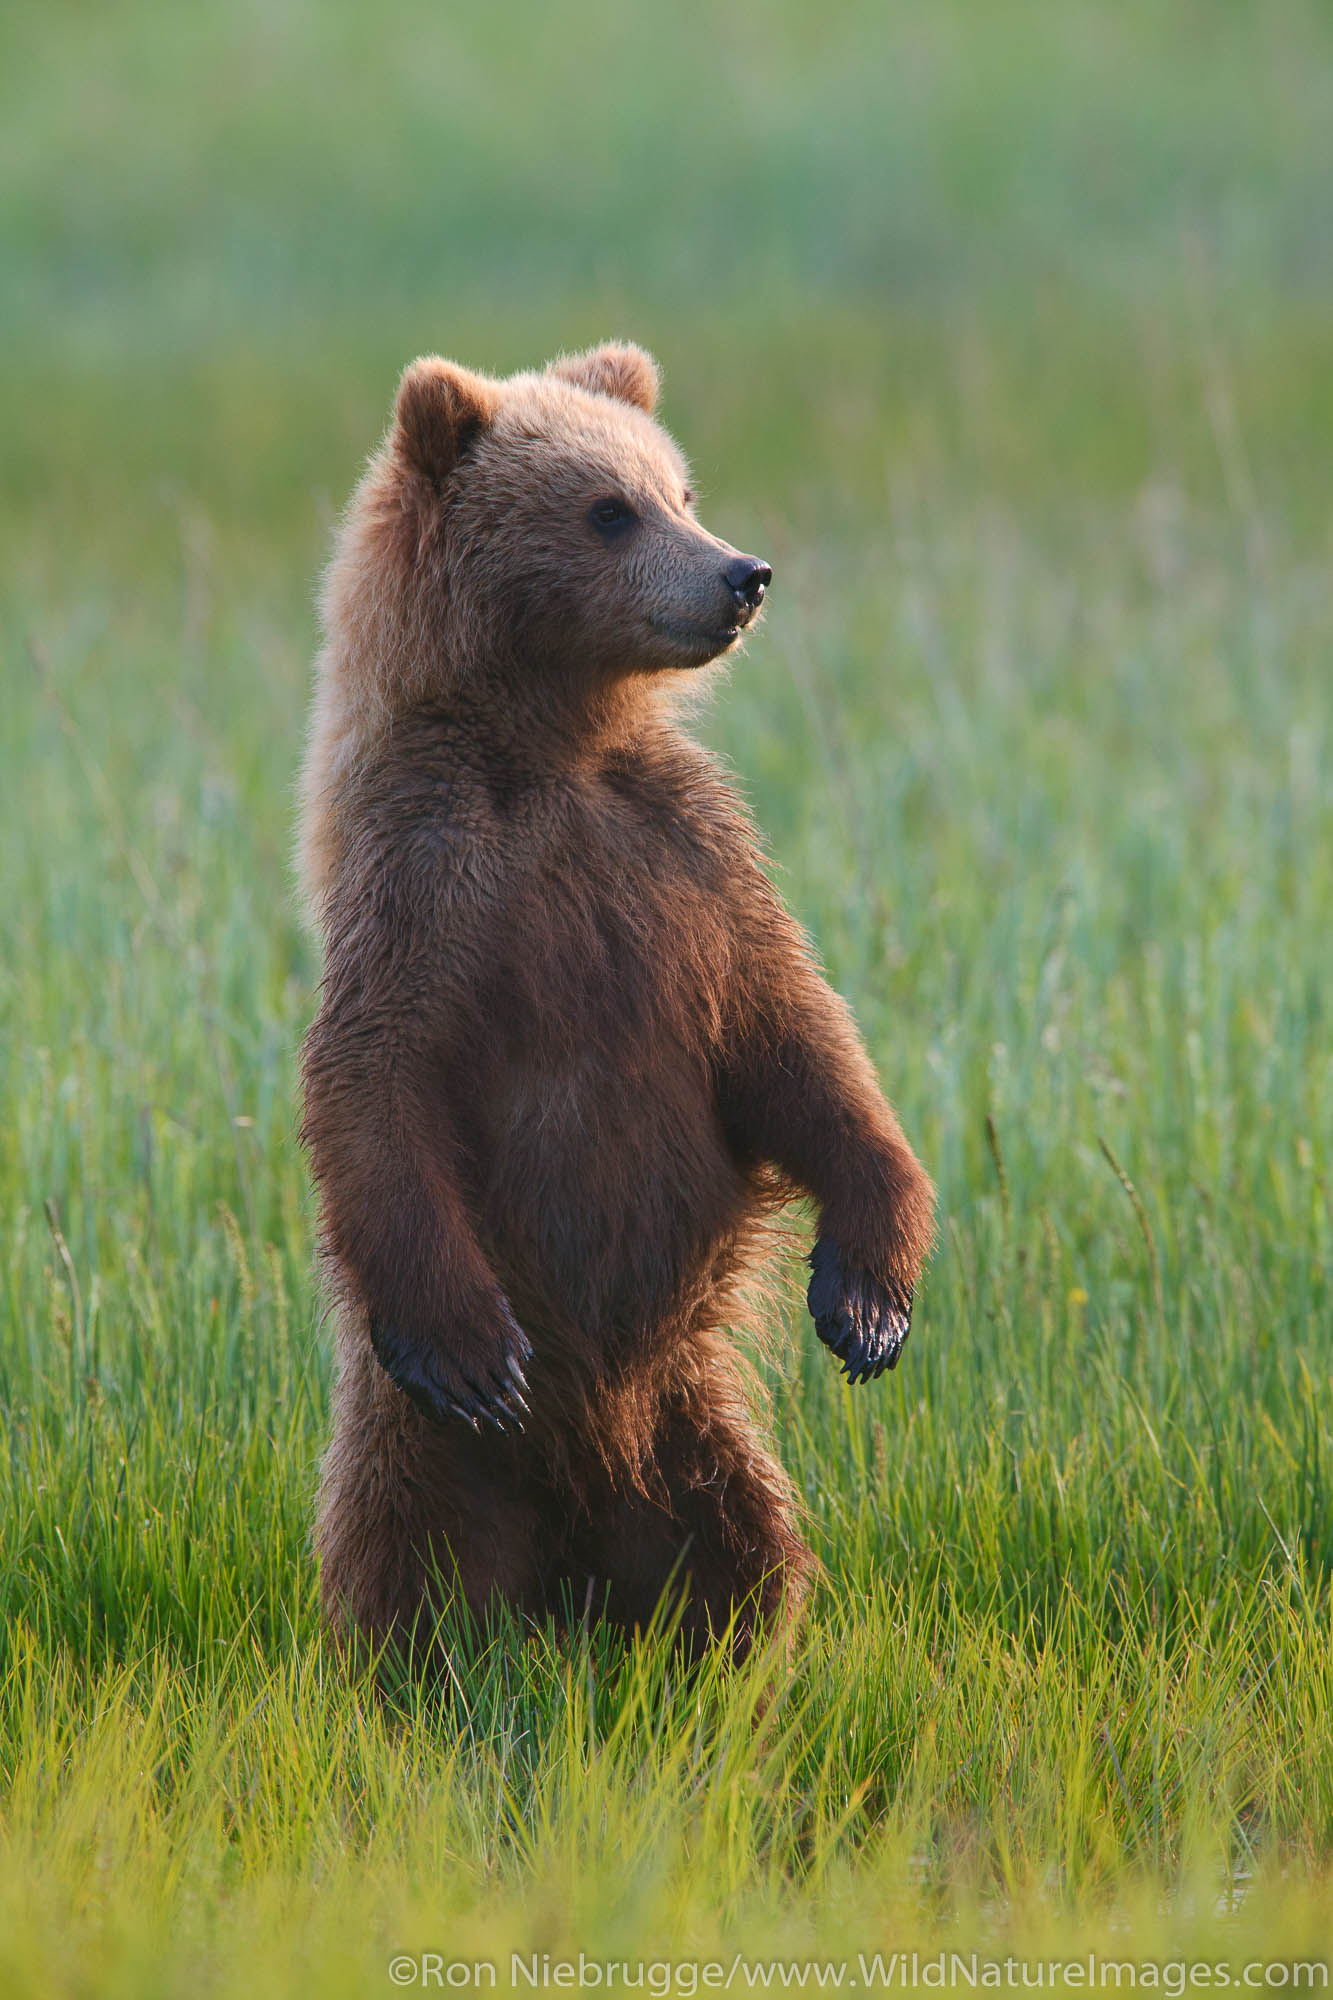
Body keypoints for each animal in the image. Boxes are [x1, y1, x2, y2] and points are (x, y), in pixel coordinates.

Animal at [298, 340, 932, 1656]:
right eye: (606, 508)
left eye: (679, 489)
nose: (742, 575)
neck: (548, 741)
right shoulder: (429, 873)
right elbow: (373, 1071)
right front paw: (477, 1352)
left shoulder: (679, 853)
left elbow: (797, 1039)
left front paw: (866, 1300)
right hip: (421, 1447)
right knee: (404, 1563)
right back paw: (429, 1659)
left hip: (693, 1413)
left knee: (745, 1545)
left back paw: (724, 1647)